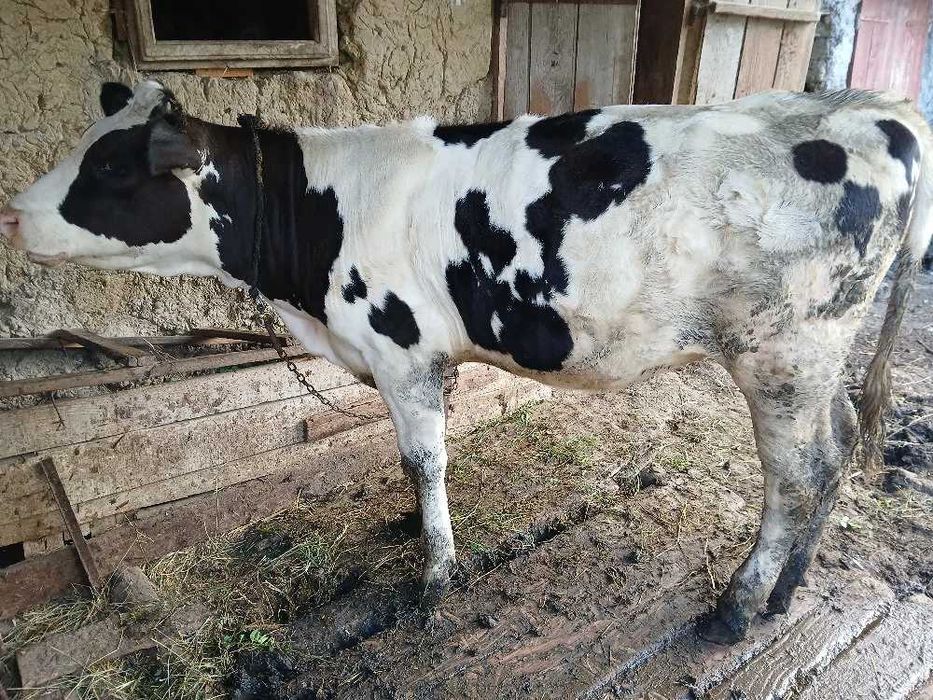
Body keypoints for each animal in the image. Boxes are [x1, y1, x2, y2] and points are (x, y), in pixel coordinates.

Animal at [2, 80, 931, 644]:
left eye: (110, 164)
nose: (13, 215)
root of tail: (873, 110)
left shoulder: (399, 348)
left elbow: (424, 459)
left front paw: (435, 572)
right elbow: (409, 462)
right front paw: (410, 532)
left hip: (780, 353)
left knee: (797, 475)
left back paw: (737, 607)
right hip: (819, 357)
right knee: (838, 447)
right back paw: (787, 590)